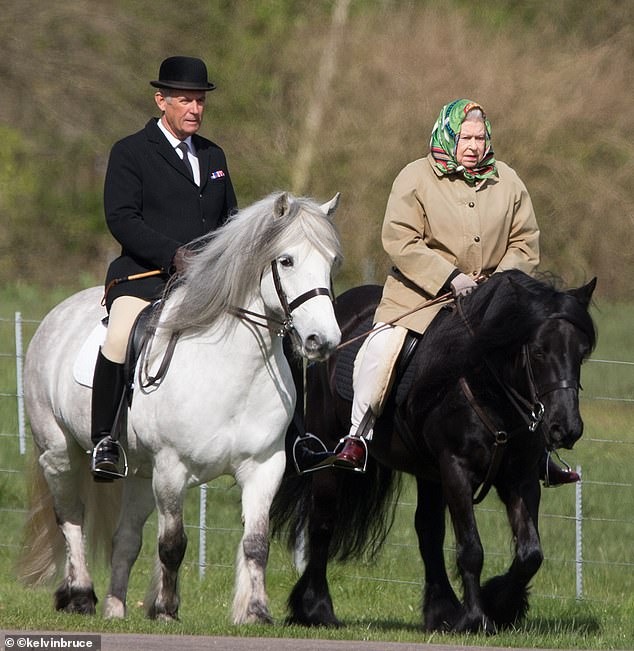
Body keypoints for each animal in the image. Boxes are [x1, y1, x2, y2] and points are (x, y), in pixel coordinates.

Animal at [18, 192, 340, 628]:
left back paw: (115, 608)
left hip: (139, 472)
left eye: (331, 262)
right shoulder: (172, 468)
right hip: (59, 453)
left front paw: (256, 612)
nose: (323, 341)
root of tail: (57, 313)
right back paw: (82, 595)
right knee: (71, 519)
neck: (230, 368)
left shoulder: (264, 466)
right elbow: (172, 543)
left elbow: (256, 542)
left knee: (125, 538)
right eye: (286, 260)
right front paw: (168, 610)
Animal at [270, 272, 592, 636]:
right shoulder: (456, 469)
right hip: (330, 449)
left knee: (428, 532)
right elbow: (471, 549)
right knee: (323, 522)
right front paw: (477, 618)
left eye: (582, 352)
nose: (566, 428)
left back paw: (441, 611)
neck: (485, 384)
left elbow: (530, 554)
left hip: (429, 474)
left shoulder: (519, 477)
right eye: (538, 350)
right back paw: (316, 608)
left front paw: (499, 604)